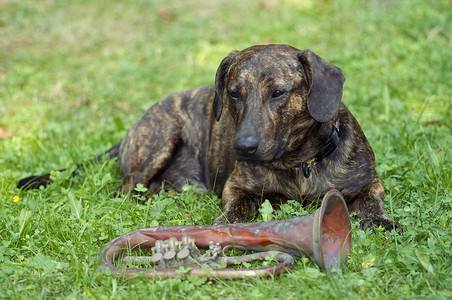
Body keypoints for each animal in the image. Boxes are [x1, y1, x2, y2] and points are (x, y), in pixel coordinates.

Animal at [17, 44, 400, 231]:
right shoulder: (237, 186)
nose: (242, 147)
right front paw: (227, 224)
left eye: (278, 92)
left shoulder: (369, 182)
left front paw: (380, 221)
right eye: (233, 93)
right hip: (159, 140)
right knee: (123, 191)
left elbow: (370, 200)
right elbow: (237, 206)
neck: (299, 163)